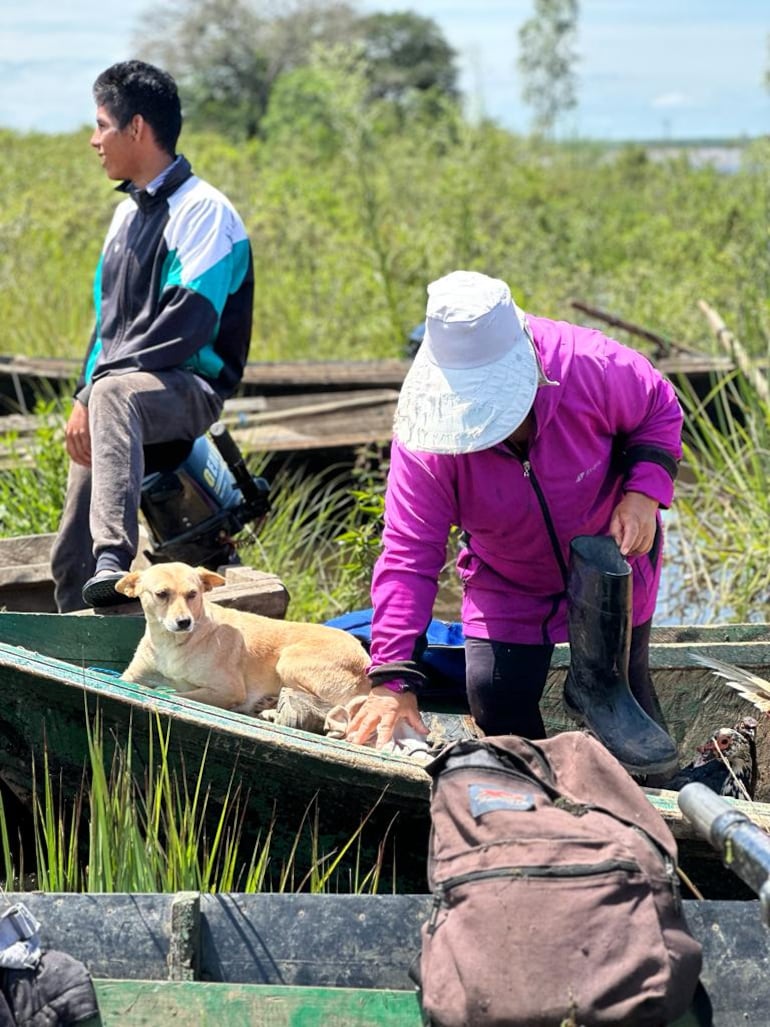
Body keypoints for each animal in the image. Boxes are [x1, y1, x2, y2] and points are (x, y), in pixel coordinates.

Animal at [117, 562, 373, 714]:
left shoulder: (228, 690)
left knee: (332, 708)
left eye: (193, 594)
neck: (172, 643)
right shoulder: (131, 676)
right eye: (161, 594)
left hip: (289, 661)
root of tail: (365, 657)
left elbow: (181, 694)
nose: (184, 622)